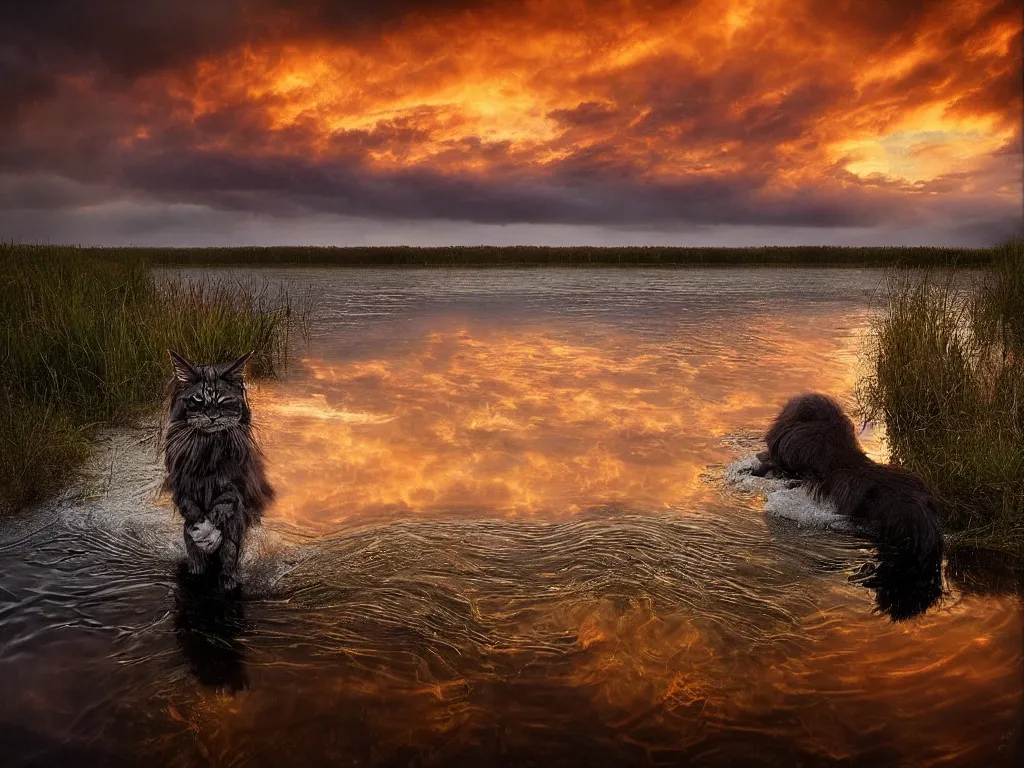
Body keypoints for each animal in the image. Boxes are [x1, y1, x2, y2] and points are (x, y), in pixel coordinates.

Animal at [160, 352, 274, 593]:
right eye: (198, 401)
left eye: (223, 401)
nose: (212, 416)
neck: (207, 447)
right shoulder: (181, 487)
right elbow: (192, 511)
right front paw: (203, 533)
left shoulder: (232, 488)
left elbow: (219, 511)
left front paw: (210, 534)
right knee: (196, 557)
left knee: (229, 558)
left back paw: (228, 580)